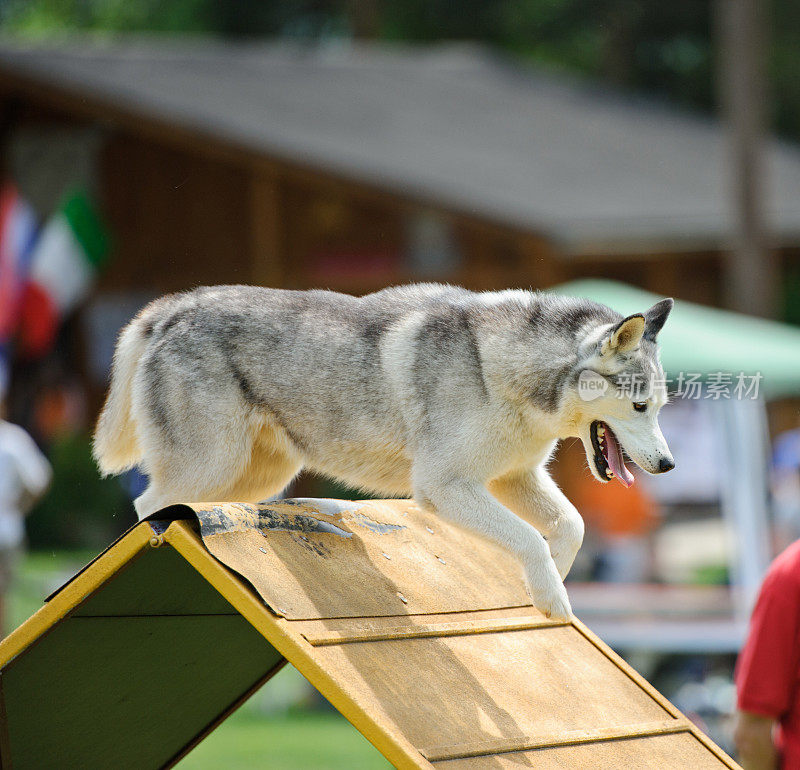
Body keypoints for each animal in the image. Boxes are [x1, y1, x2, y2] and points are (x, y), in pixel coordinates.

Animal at [97, 284, 680, 620]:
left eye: (660, 406)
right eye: (640, 406)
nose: (668, 465)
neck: (510, 373)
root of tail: (172, 306)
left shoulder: (514, 477)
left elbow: (570, 526)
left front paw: (550, 578)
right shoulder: (444, 487)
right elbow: (529, 538)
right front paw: (553, 597)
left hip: (256, 478)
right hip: (210, 465)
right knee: (149, 507)